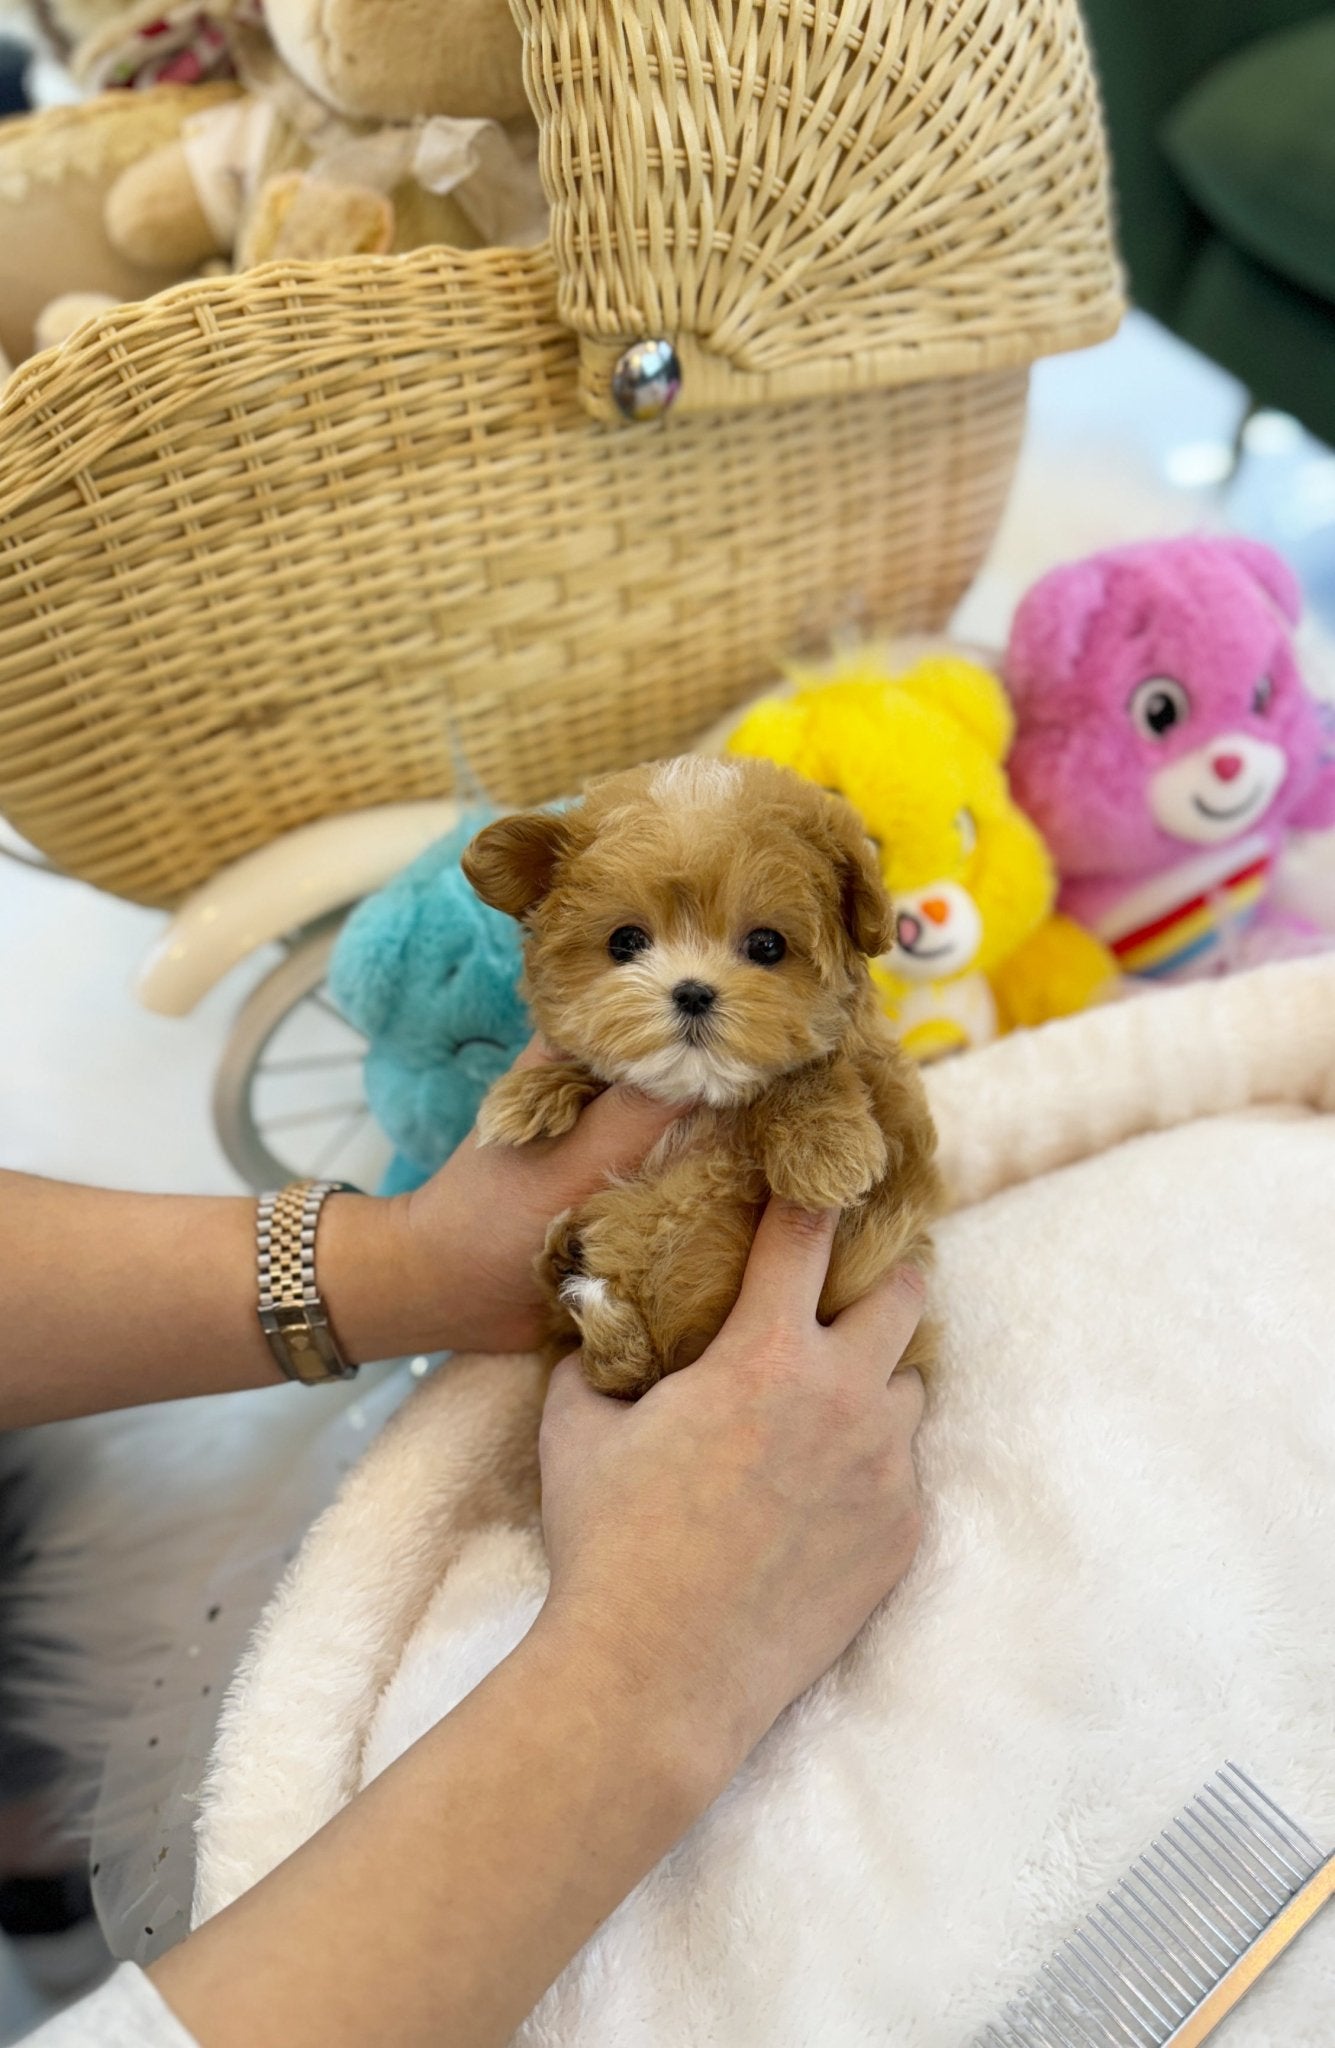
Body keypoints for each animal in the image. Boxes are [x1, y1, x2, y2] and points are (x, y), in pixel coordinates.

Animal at [464, 761, 941, 1400]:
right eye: (625, 942)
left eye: (767, 944)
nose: (691, 992)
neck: (702, 1100)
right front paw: (529, 1094)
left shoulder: (895, 1139)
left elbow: (816, 1070)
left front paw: (824, 1148)